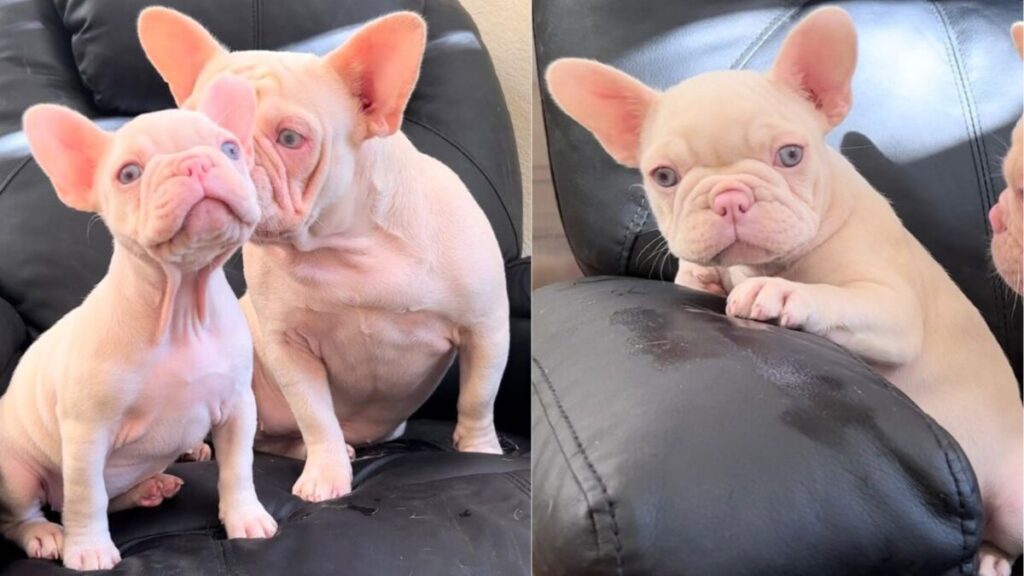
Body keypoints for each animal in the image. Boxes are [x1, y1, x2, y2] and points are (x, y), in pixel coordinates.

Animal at [0, 73, 278, 565]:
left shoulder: (237, 406)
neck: (182, 306)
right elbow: (86, 496)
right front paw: (89, 549)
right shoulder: (87, 432)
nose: (195, 164)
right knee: (24, 513)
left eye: (230, 148)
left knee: (112, 495)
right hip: (15, 470)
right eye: (128, 174)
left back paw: (148, 487)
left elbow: (238, 469)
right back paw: (44, 534)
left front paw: (245, 517)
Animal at [548, 6, 1024, 569]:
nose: (729, 197)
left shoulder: (892, 309)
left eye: (791, 155)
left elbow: (837, 297)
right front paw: (699, 274)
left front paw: (779, 294)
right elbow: (700, 275)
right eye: (664, 176)